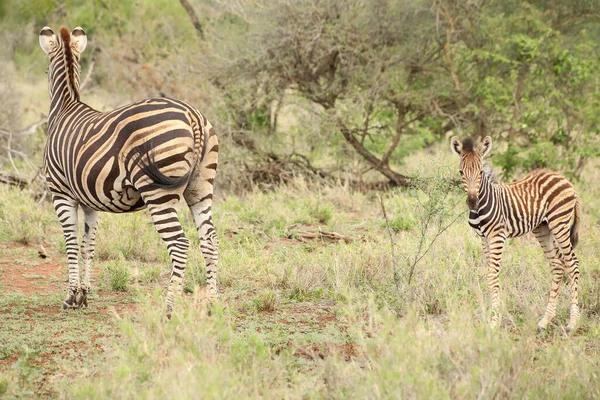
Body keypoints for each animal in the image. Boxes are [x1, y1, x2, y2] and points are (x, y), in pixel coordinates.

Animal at [37, 26, 218, 318]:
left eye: (44, 70)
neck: (66, 107)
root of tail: (192, 116)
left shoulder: (61, 193)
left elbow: (72, 243)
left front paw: (70, 297)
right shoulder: (89, 201)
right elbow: (88, 246)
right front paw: (83, 295)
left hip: (158, 194)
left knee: (180, 244)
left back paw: (168, 309)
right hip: (202, 187)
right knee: (210, 240)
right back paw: (213, 303)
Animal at [450, 136, 580, 332]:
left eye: (480, 172)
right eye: (461, 172)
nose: (472, 202)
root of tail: (564, 178)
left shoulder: (497, 236)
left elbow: (492, 276)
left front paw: (494, 322)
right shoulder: (483, 238)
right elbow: (490, 275)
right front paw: (491, 318)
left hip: (559, 223)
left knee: (572, 264)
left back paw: (573, 322)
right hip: (543, 228)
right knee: (558, 265)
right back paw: (545, 321)